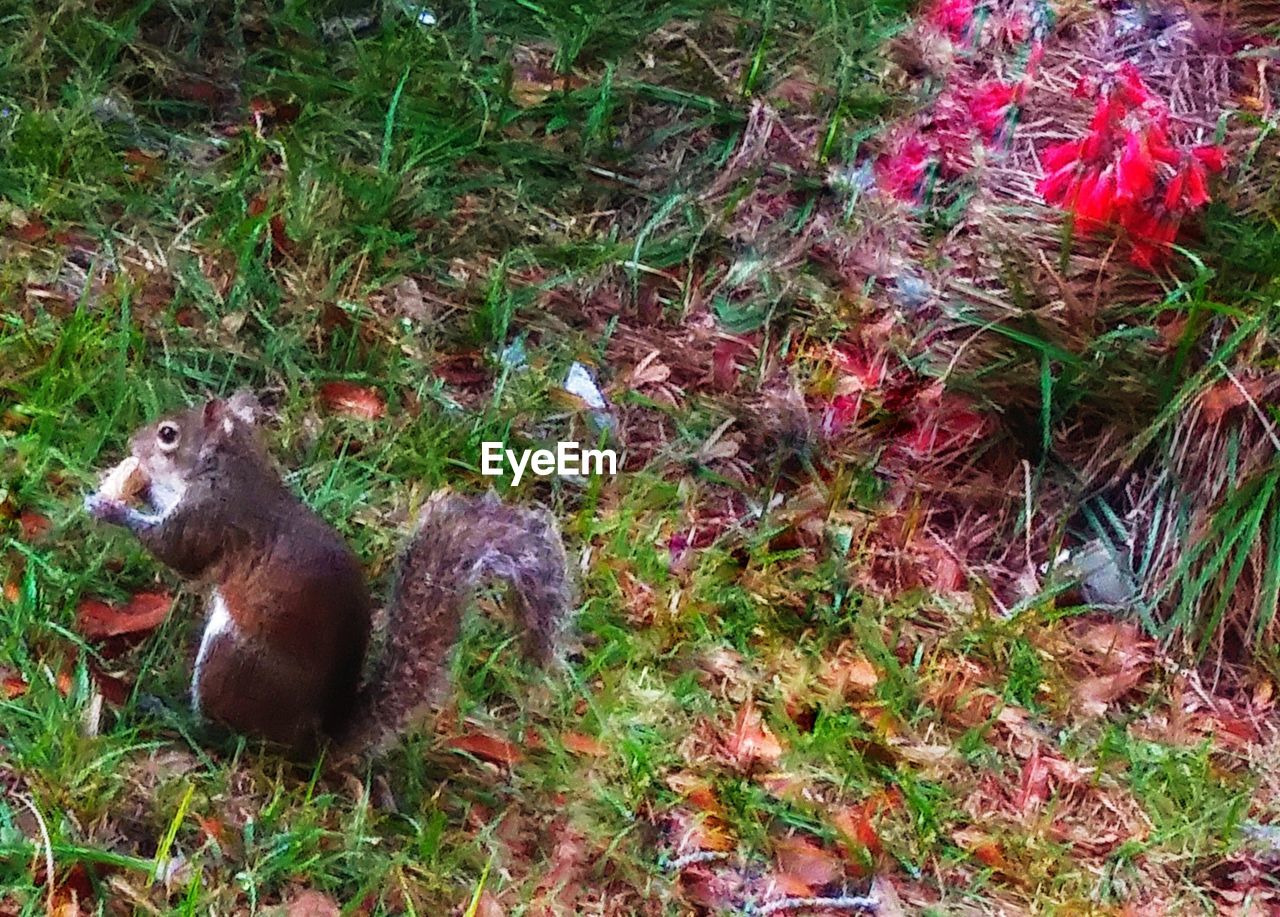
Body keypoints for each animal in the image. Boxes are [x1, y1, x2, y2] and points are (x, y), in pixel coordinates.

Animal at [82, 389, 573, 758]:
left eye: (168, 434)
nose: (132, 443)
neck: (228, 467)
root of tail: (312, 742)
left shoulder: (213, 518)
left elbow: (178, 553)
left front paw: (112, 507)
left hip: (231, 659)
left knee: (225, 736)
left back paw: (171, 714)